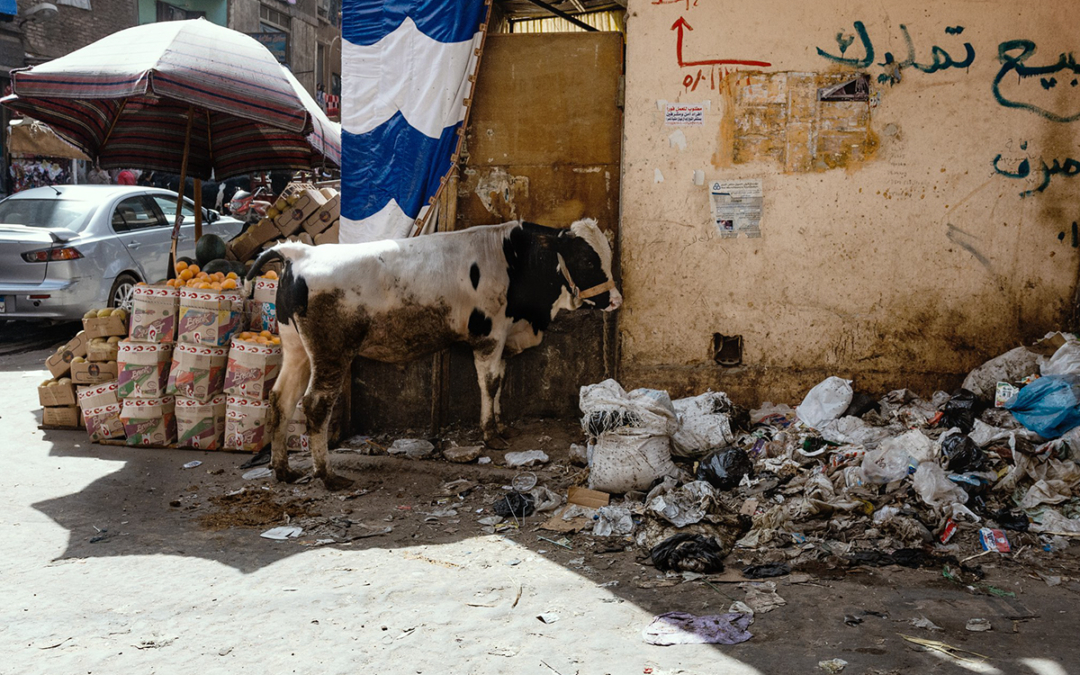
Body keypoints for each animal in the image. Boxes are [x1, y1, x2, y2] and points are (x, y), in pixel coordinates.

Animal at [244, 218, 617, 486]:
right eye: (586, 257)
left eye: (608, 254)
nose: (615, 299)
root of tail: (299, 253)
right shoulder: (489, 335)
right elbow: (490, 383)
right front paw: (490, 434)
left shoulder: (504, 338)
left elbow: (499, 381)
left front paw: (501, 426)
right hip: (331, 353)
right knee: (315, 405)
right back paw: (327, 476)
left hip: (297, 350)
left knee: (280, 400)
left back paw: (283, 470)